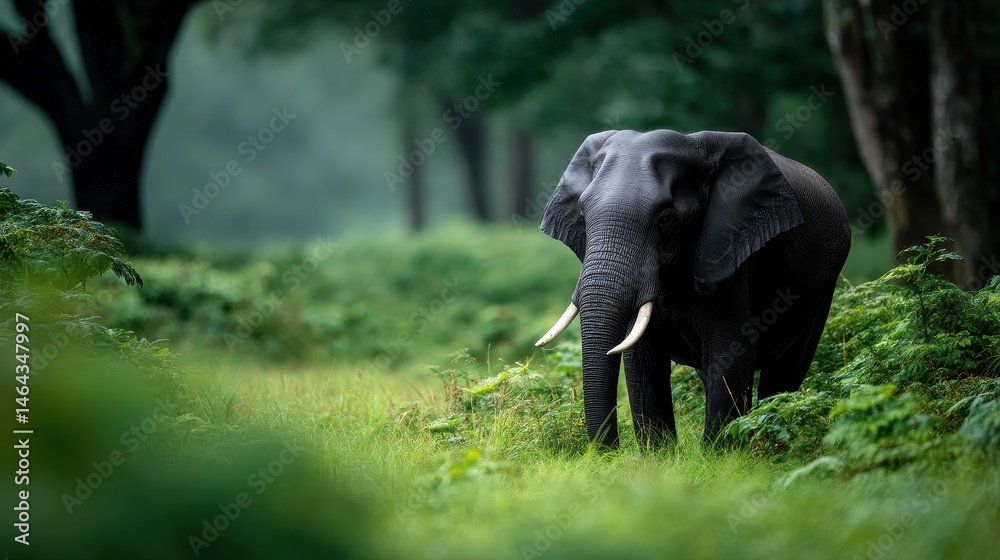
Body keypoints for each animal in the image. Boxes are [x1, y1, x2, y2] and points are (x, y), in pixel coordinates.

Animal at [535, 129, 851, 448]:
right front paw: (659, 455)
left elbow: (731, 350)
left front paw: (716, 453)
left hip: (823, 286)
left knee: (785, 370)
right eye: (582, 216)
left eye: (665, 220)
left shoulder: (729, 249)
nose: (607, 453)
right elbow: (642, 359)